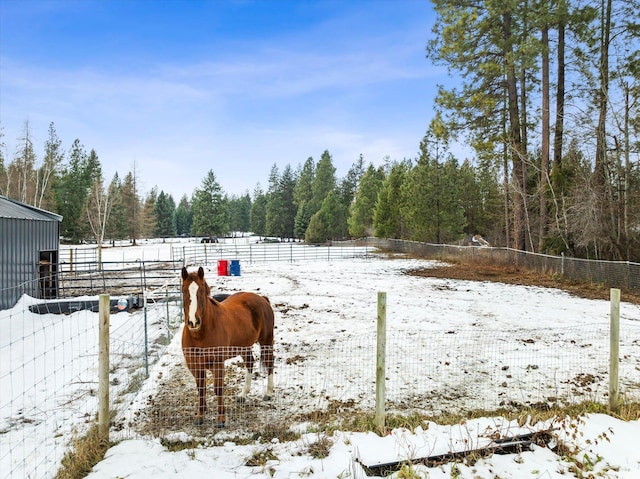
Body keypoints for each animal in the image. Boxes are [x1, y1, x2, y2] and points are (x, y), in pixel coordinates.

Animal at [179, 266, 274, 428]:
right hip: (244, 346)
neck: (200, 335)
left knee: (269, 363)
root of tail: (262, 299)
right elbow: (201, 388)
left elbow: (218, 389)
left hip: (266, 341)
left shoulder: (217, 364)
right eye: (184, 291)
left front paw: (221, 419)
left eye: (202, 291)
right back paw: (243, 395)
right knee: (249, 363)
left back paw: (268, 393)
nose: (193, 322)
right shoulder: (195, 365)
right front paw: (200, 414)